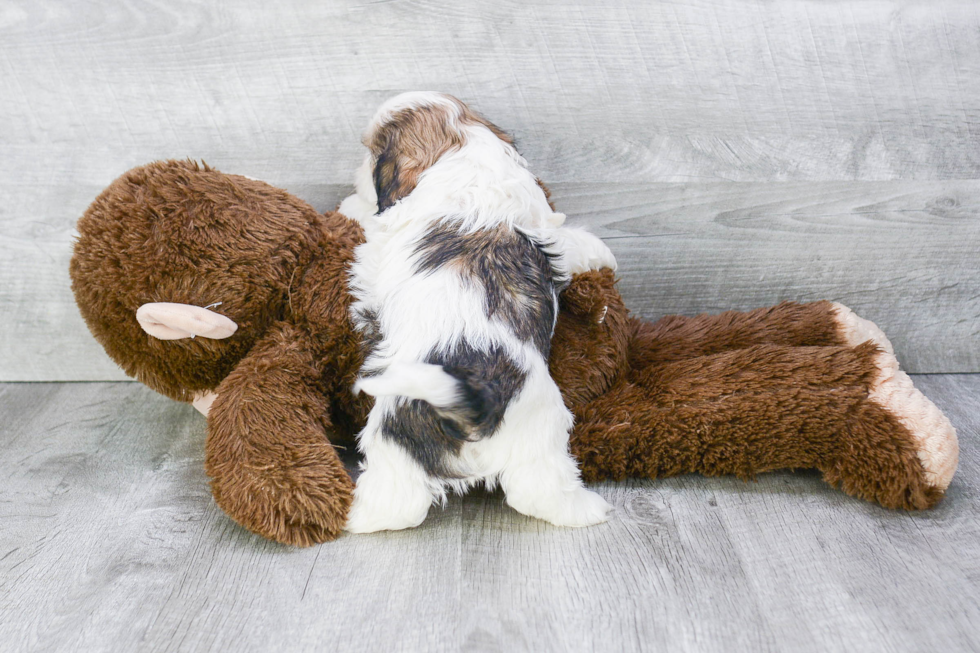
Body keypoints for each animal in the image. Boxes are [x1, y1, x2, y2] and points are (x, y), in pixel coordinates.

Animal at [342, 91, 612, 532]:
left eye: (371, 152)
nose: (355, 170)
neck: (463, 146)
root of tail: (475, 403)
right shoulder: (545, 223)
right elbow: (569, 238)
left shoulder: (385, 235)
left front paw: (351, 204)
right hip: (534, 437)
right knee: (537, 491)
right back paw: (586, 510)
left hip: (393, 434)